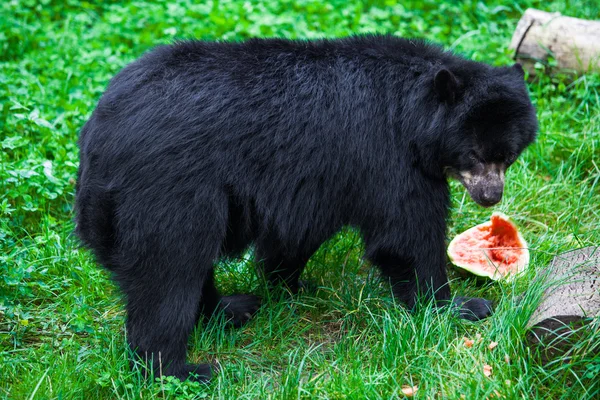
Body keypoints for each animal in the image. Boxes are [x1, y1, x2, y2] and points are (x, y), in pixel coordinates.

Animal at [75, 34, 540, 382]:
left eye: (509, 156)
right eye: (475, 155)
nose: (491, 196)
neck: (415, 115)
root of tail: (98, 135)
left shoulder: (320, 180)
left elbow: (296, 233)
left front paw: (289, 284)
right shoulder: (386, 156)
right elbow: (405, 236)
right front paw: (460, 306)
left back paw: (230, 309)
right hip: (170, 188)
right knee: (168, 272)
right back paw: (181, 369)